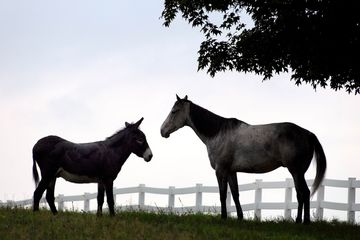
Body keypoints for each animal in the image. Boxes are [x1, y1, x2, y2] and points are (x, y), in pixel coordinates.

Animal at [160, 95, 326, 223]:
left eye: (174, 111)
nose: (162, 131)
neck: (218, 133)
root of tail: (308, 134)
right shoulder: (231, 171)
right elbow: (235, 194)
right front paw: (239, 217)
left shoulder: (221, 171)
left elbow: (222, 194)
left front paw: (223, 217)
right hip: (298, 173)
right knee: (302, 194)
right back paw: (301, 221)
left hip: (296, 172)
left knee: (304, 193)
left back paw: (303, 221)